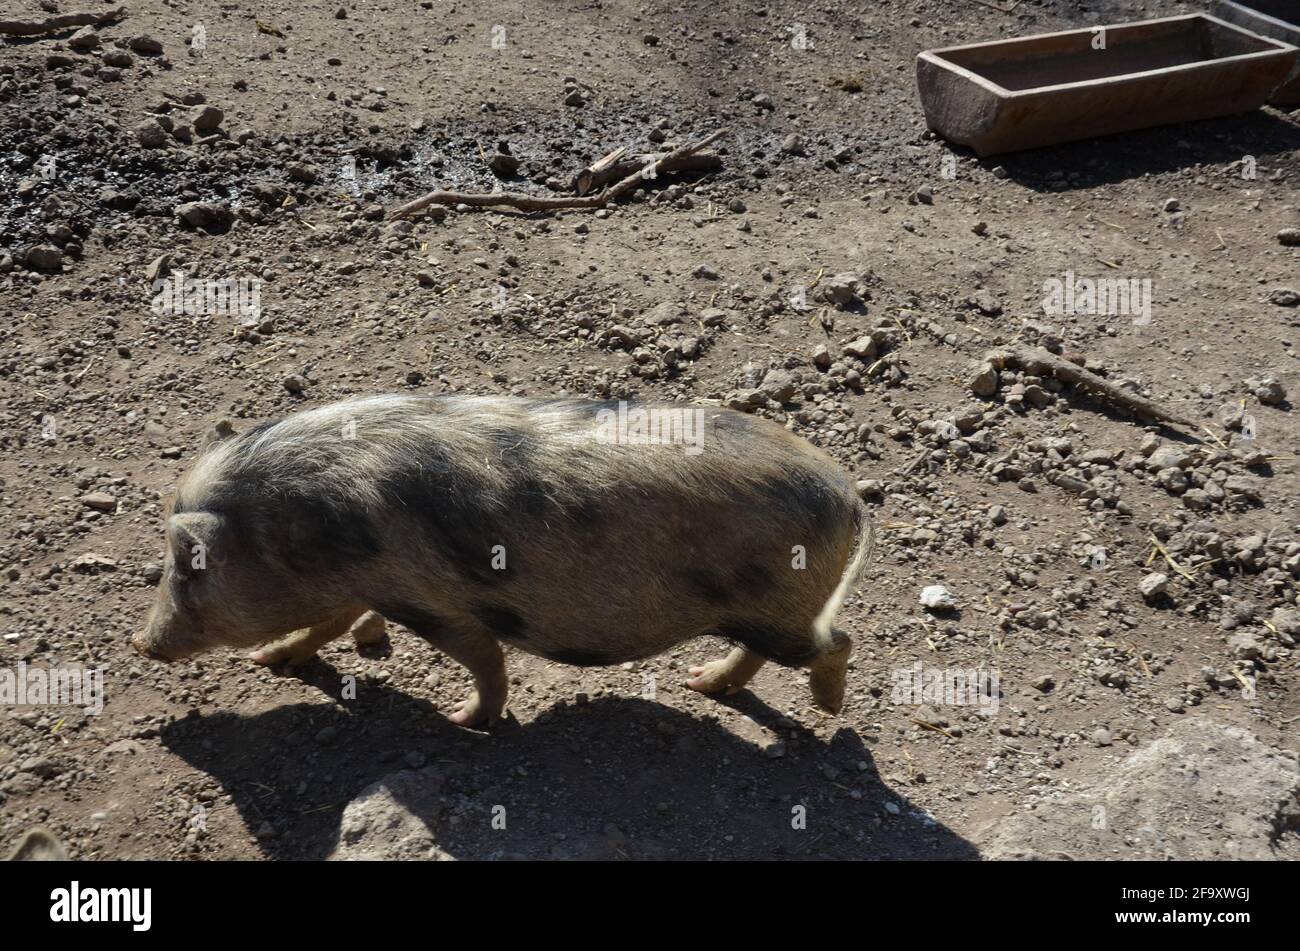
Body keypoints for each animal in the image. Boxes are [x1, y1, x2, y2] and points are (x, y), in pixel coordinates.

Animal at [134, 394, 873, 727]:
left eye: (187, 566)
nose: (140, 642)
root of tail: (847, 492)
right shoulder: (361, 587)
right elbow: (330, 622)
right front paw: (271, 660)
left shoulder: (429, 600)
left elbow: (483, 656)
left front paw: (462, 721)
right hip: (761, 610)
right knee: (763, 652)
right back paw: (701, 685)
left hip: (781, 605)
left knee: (839, 641)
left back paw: (829, 710)